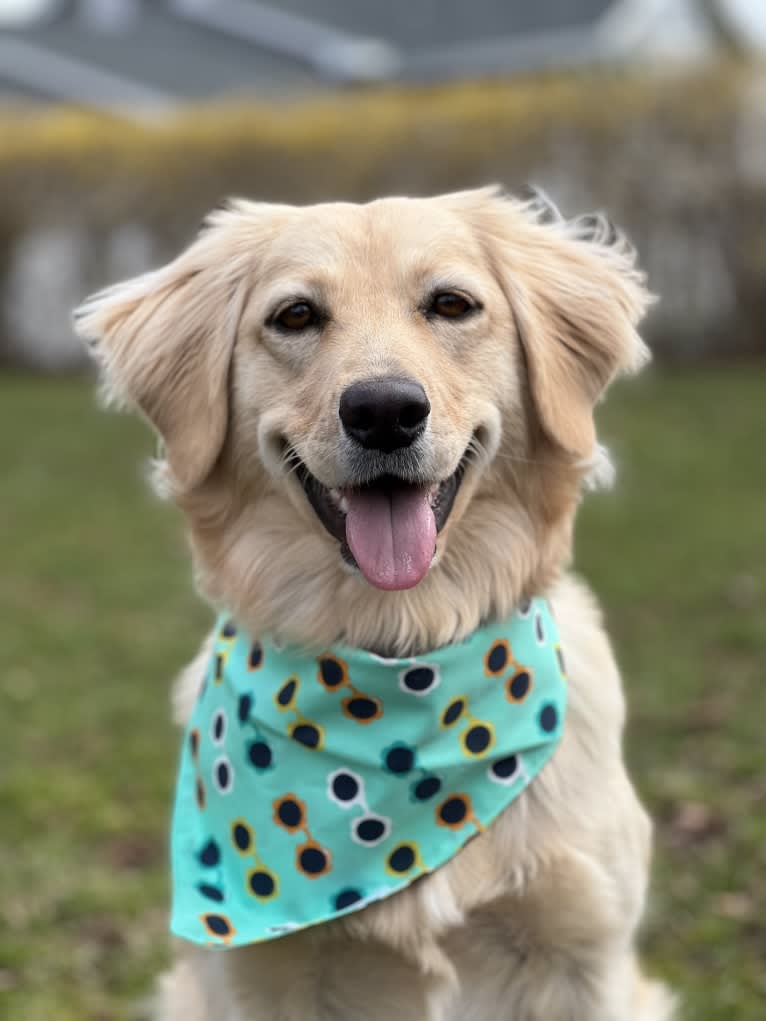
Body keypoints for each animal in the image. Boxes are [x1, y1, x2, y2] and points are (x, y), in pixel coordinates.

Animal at [76, 187, 678, 1016]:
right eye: (296, 315)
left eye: (451, 304)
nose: (385, 410)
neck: (398, 666)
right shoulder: (273, 977)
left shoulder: (580, 948)